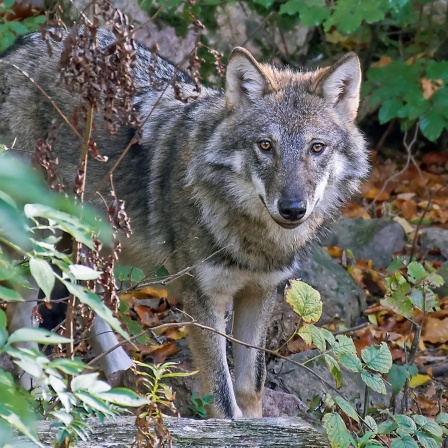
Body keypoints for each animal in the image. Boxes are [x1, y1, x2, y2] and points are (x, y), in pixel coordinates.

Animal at [0, 29, 370, 418]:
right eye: (266, 146)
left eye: (317, 148)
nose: (293, 209)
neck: (253, 240)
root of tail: (21, 44)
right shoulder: (203, 300)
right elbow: (222, 397)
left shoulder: (261, 292)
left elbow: (251, 384)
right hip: (41, 233)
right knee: (21, 309)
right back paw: (36, 387)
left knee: (86, 298)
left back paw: (119, 377)